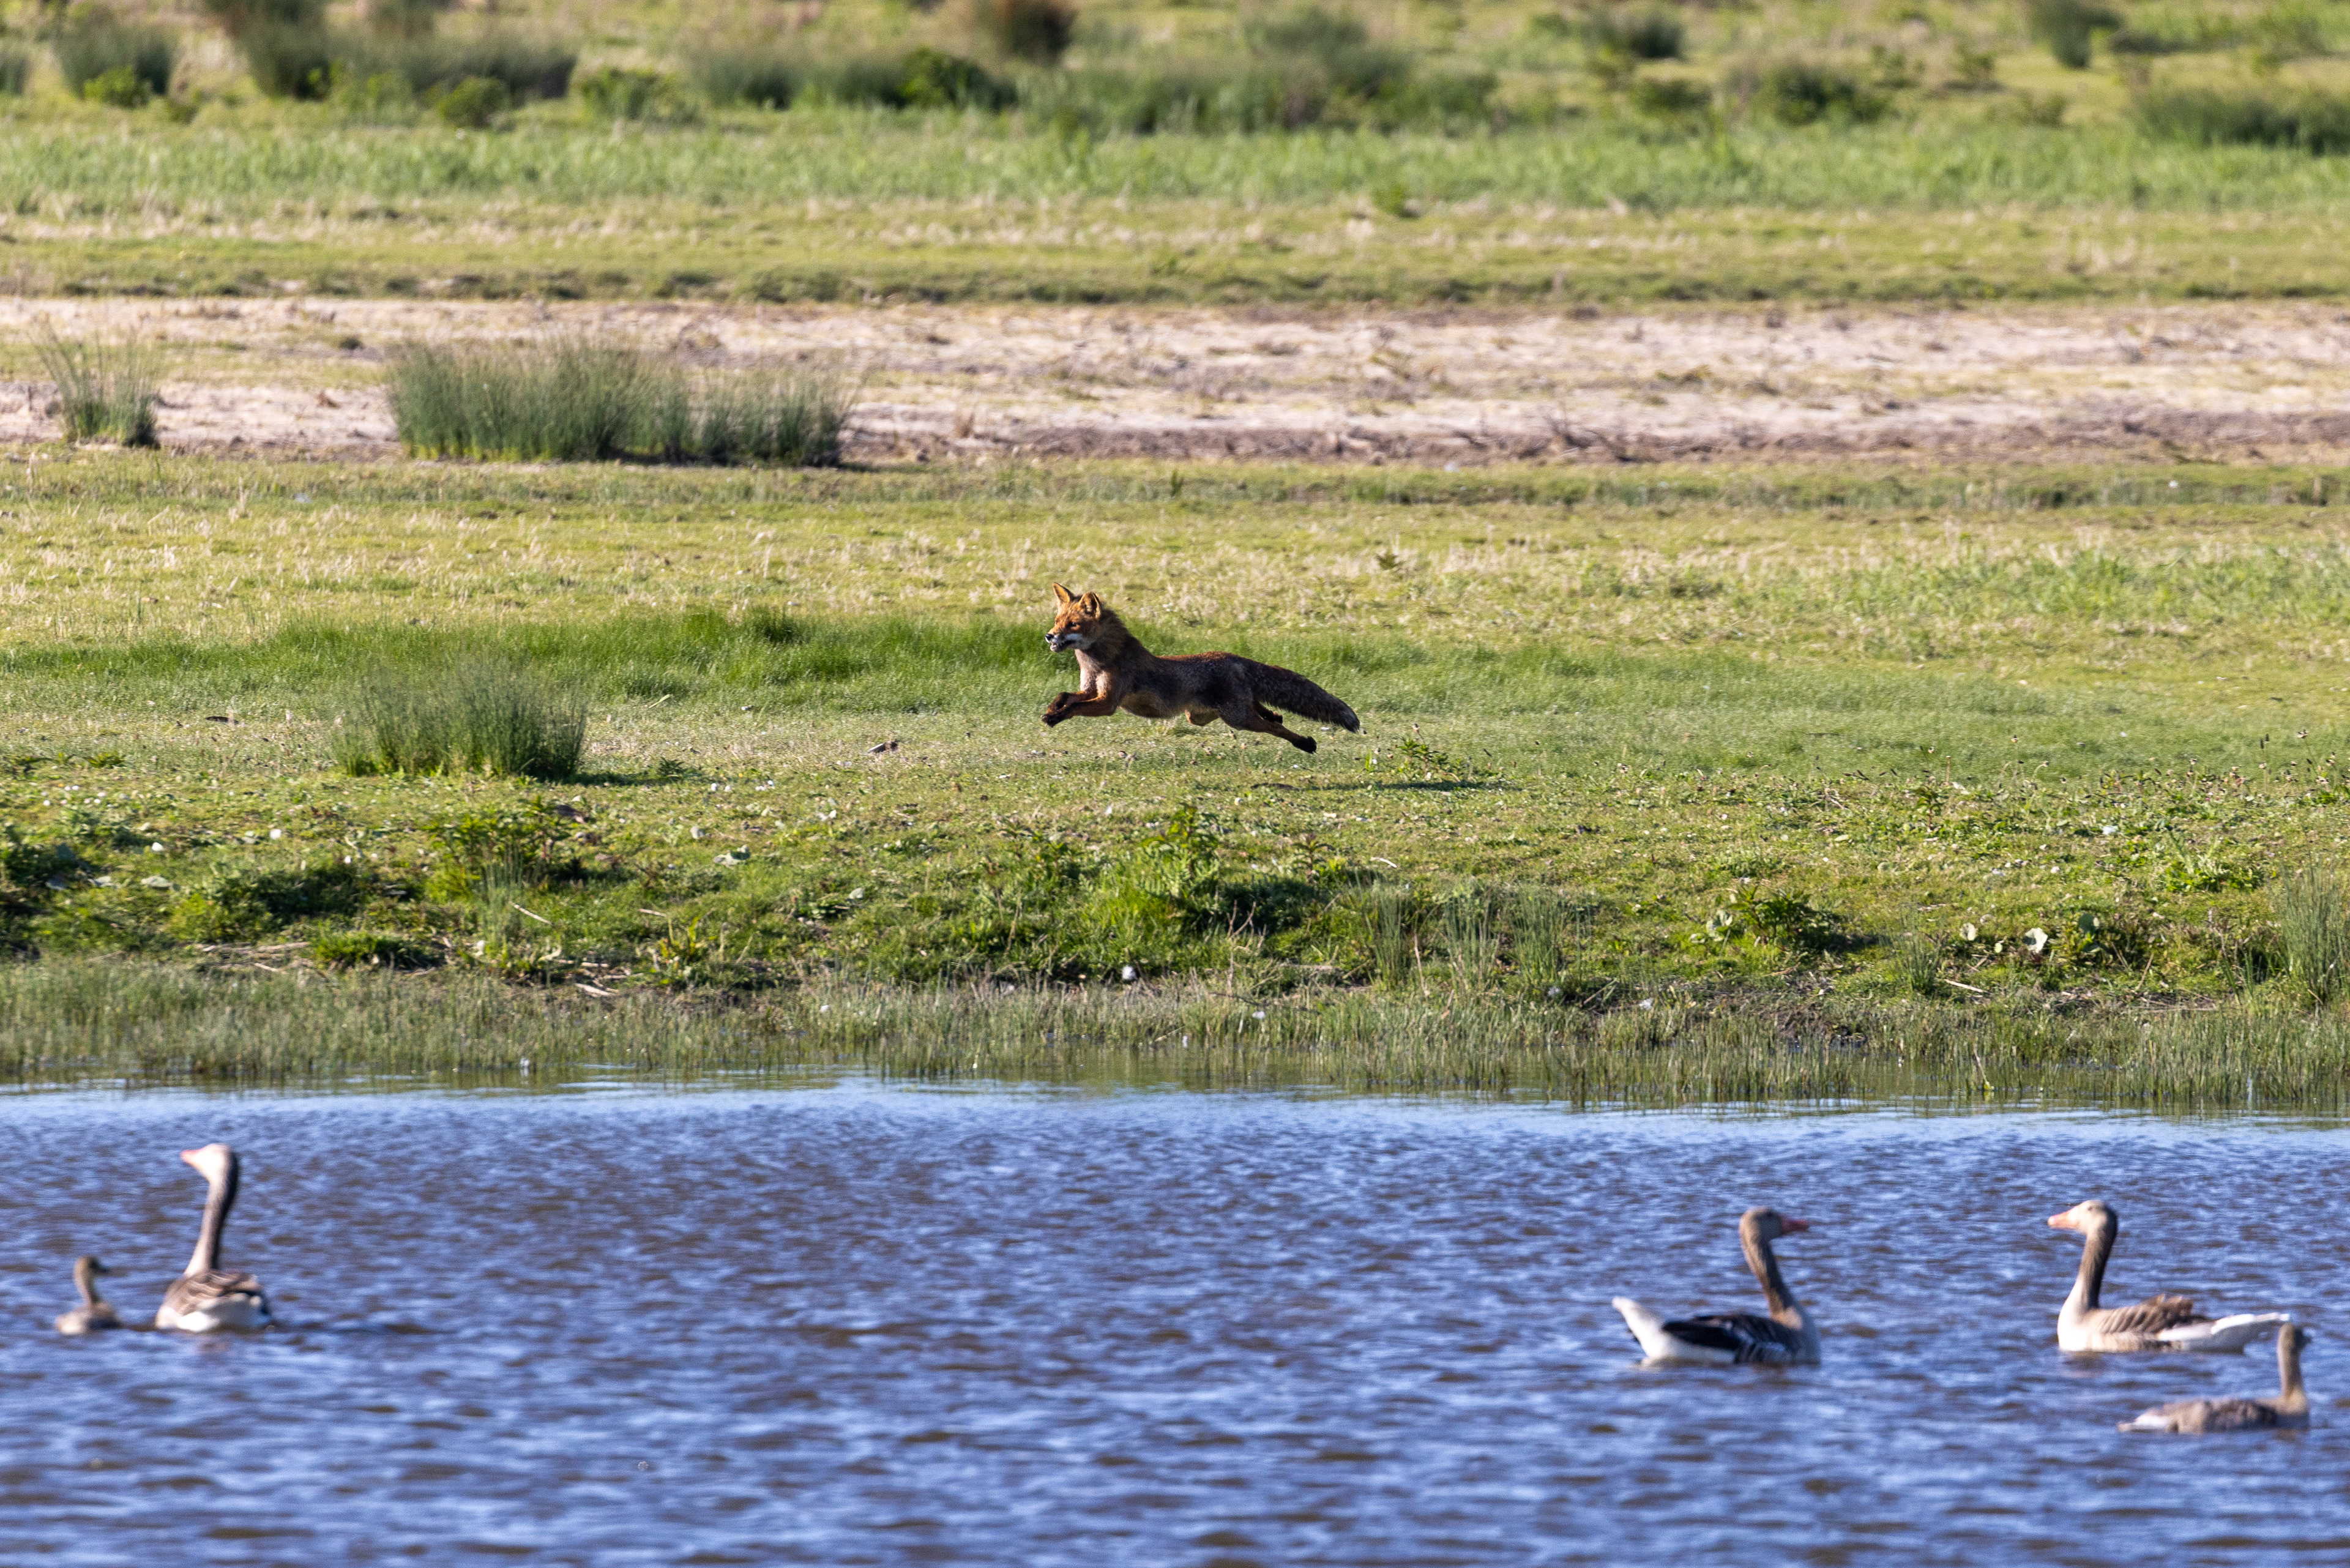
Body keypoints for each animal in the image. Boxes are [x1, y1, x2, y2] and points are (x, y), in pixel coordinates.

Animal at [1041, 583, 1360, 753]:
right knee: (1264, 710)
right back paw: (1276, 714)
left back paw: (1304, 743)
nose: (1048, 636)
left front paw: (1056, 717)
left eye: (1073, 625)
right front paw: (1052, 710)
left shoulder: (1108, 702)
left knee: (1274, 728)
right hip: (1206, 716)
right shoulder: (1090, 690)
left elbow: (1074, 707)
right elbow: (1065, 696)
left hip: (1235, 718)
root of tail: (1231, 656)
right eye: (1057, 621)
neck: (1100, 662)